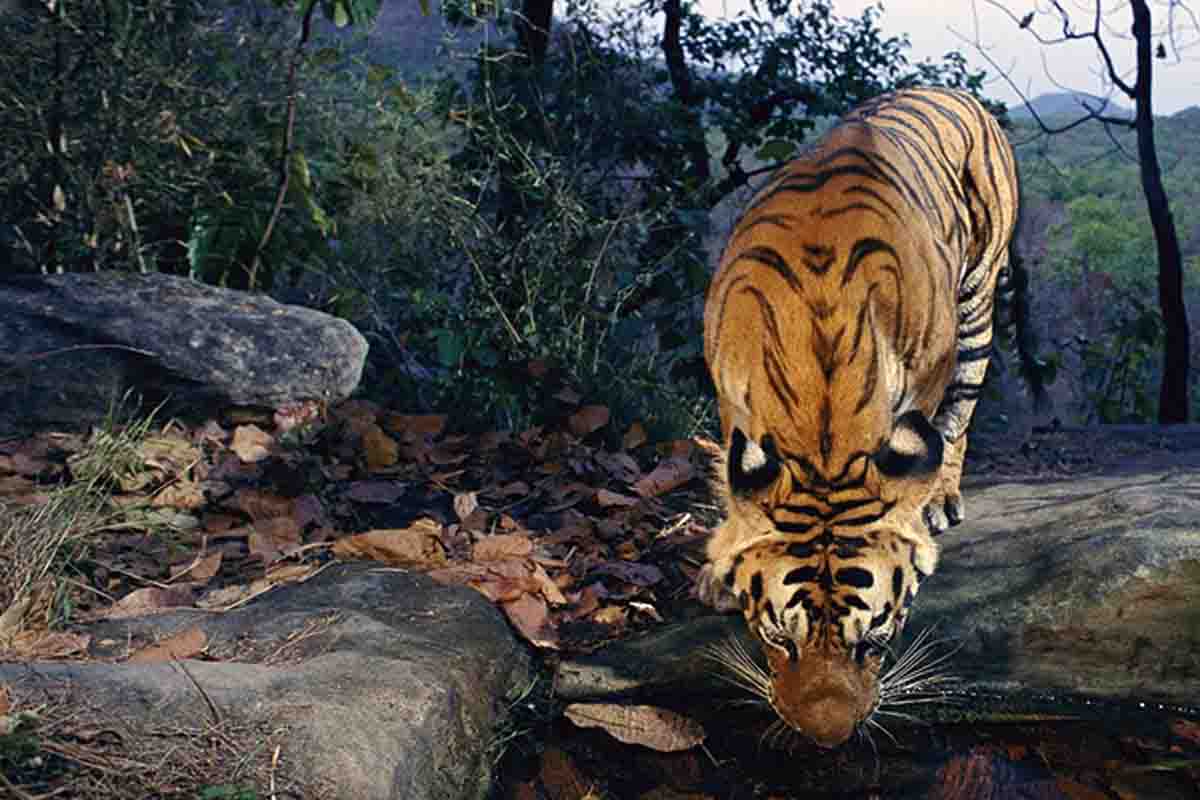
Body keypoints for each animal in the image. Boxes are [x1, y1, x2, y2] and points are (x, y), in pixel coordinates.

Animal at [700, 87, 1017, 753]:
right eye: (778, 639)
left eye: (873, 641)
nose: (827, 740)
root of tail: (951, 91)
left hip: (977, 307)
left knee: (961, 416)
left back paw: (942, 498)